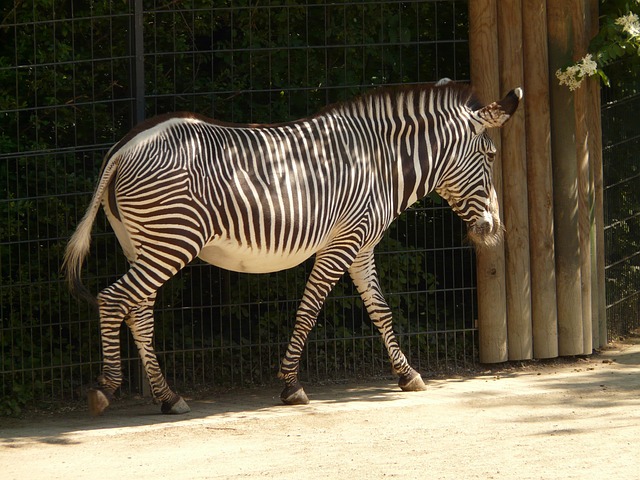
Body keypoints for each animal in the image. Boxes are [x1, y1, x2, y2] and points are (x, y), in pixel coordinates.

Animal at [63, 80, 520, 414]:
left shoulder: (362, 248)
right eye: (491, 156)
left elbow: (381, 311)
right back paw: (105, 388)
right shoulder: (342, 241)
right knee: (113, 299)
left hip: (143, 243)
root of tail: (125, 146)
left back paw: (167, 396)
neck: (379, 163)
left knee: (138, 313)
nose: (492, 229)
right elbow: (309, 310)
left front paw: (407, 374)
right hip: (172, 240)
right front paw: (291, 385)